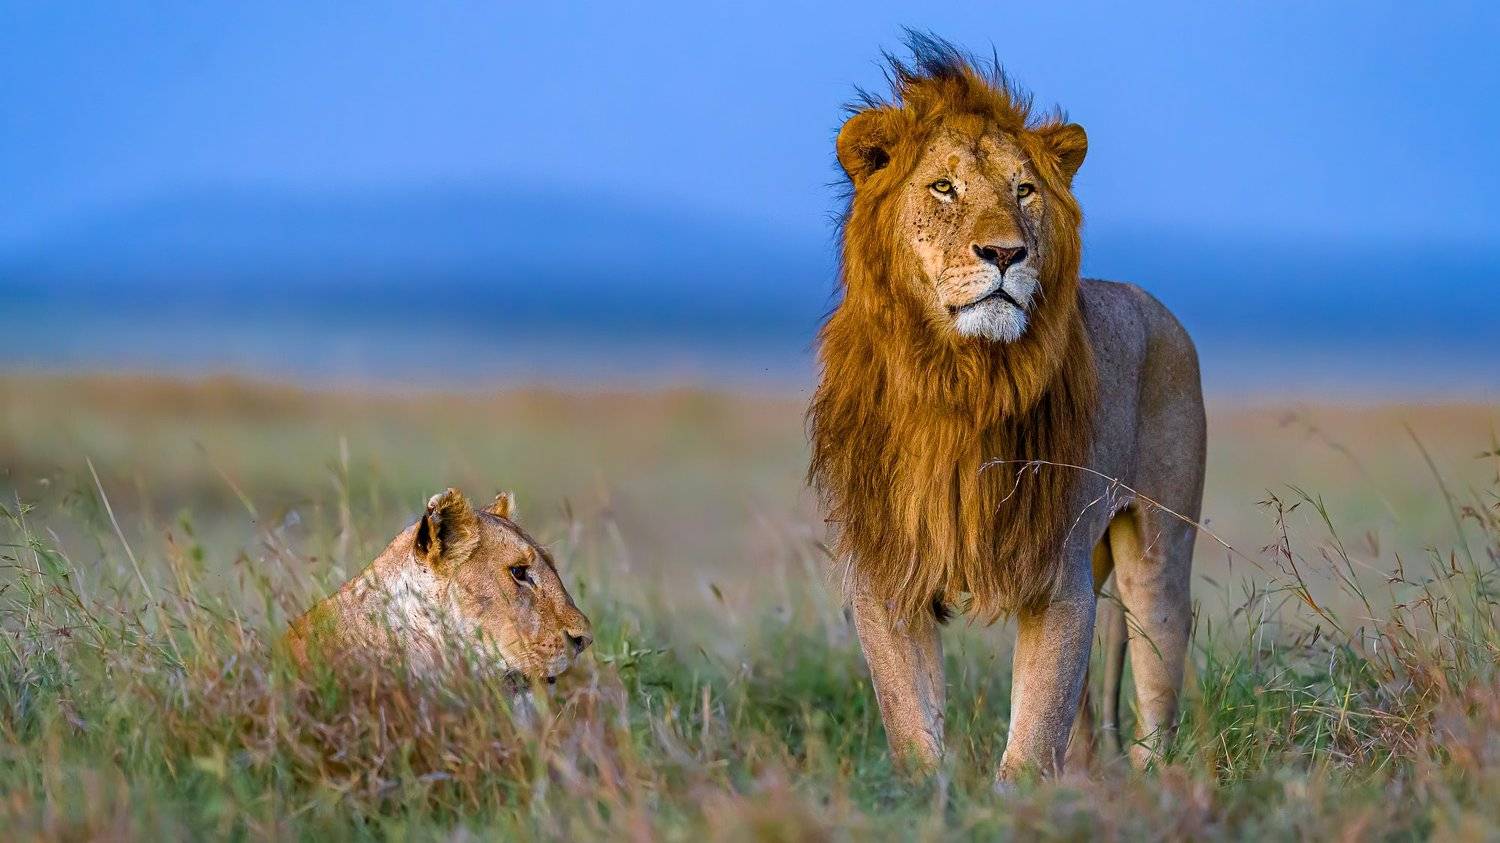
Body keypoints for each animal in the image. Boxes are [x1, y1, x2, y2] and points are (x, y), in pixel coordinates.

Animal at [809, 33, 1205, 784]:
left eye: (1025, 190)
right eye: (944, 187)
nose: (1004, 252)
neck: (959, 379)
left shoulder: (1058, 573)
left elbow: (1037, 724)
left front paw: (1015, 797)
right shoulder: (888, 566)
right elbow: (909, 717)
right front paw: (924, 793)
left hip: (1158, 554)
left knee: (1157, 689)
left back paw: (1151, 783)